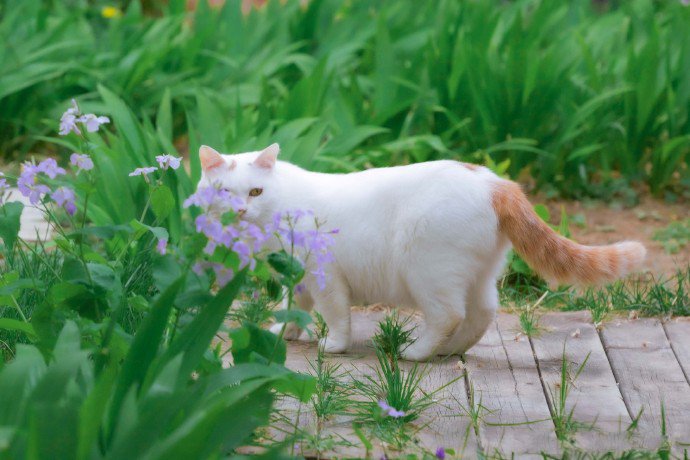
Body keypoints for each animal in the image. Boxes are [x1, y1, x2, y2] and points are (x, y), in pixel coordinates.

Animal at [195, 143, 644, 360]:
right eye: (223, 191)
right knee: (482, 314)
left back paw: (418, 353)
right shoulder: (298, 277)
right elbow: (294, 305)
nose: (240, 209)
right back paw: (451, 351)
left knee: (449, 315)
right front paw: (284, 331)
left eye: (255, 192)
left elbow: (336, 317)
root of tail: (495, 182)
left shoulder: (327, 278)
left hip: (427, 271)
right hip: (476, 275)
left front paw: (334, 345)